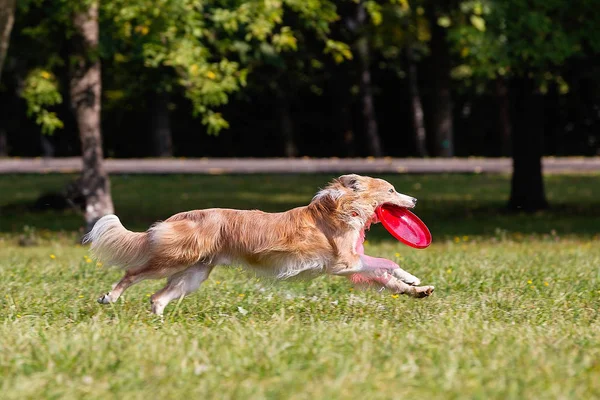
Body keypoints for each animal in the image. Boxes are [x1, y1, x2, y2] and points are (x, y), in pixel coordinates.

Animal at [84, 173, 434, 314]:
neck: (342, 206)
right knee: (132, 274)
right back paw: (109, 297)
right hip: (175, 259)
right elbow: (387, 263)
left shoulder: (352, 265)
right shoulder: (345, 262)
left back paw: (158, 320)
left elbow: (386, 277)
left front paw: (417, 289)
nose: (415, 199)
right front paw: (413, 277)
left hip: (194, 274)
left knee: (157, 296)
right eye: (391, 190)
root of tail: (182, 215)